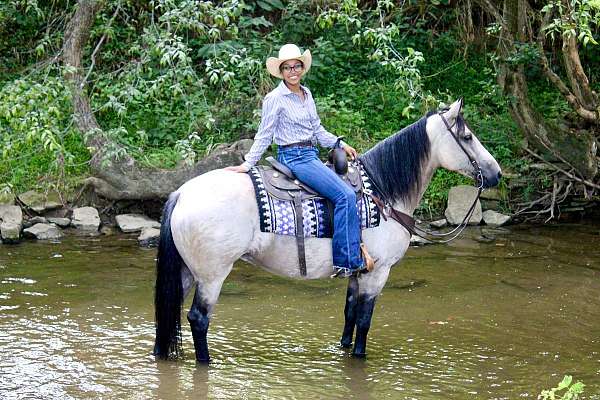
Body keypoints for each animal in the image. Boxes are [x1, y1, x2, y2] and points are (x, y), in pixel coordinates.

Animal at [154, 99, 502, 362]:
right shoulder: (379, 272)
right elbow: (364, 320)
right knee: (198, 319)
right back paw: (205, 361)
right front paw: (360, 357)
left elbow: (349, 315)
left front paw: (344, 351)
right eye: (467, 137)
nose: (496, 173)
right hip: (212, 274)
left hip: (187, 271)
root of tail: (181, 193)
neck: (383, 193)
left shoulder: (357, 271)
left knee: (166, 311)